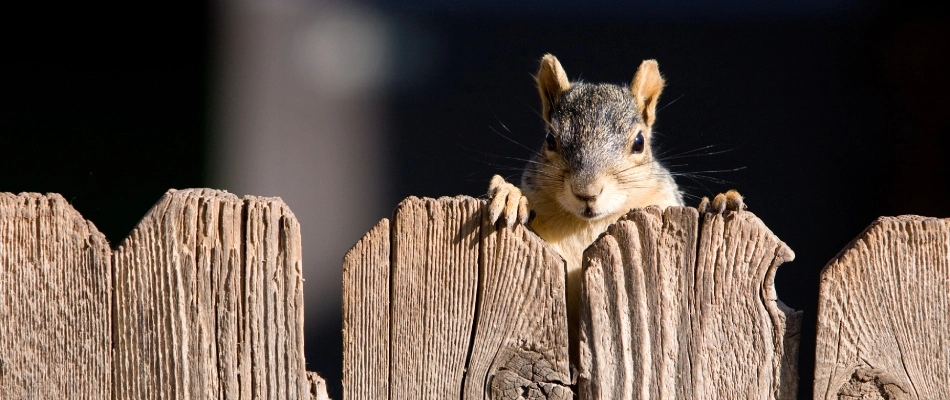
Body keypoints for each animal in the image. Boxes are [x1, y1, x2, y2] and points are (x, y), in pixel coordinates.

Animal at [487, 53, 744, 367]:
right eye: (550, 139)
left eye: (639, 142)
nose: (587, 192)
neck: (589, 225)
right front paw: (509, 195)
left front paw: (720, 202)